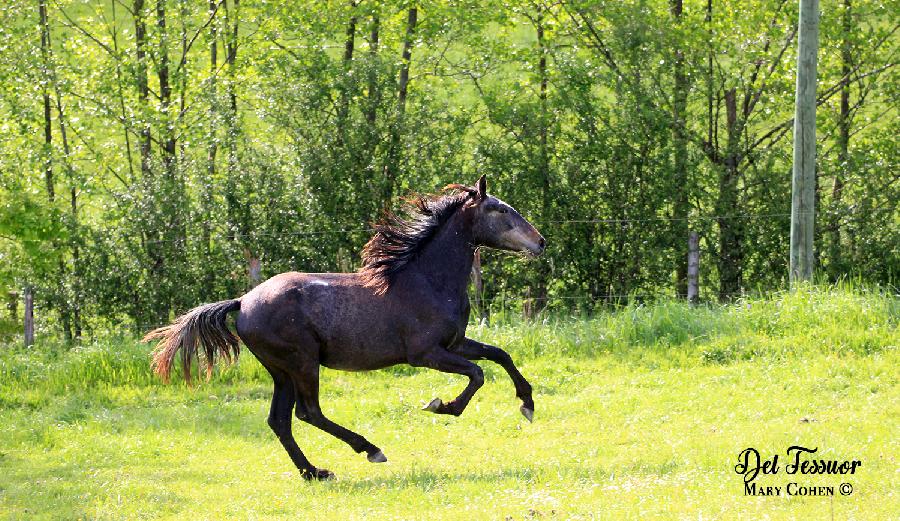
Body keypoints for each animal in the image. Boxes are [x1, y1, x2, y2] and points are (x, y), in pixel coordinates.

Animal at [144, 176, 544, 480]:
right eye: (500, 209)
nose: (540, 242)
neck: (428, 280)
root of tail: (242, 302)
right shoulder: (425, 354)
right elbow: (477, 373)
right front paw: (442, 406)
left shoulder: (455, 343)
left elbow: (500, 355)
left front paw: (527, 404)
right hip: (302, 362)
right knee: (307, 413)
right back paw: (370, 449)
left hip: (281, 371)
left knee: (280, 420)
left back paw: (315, 473)